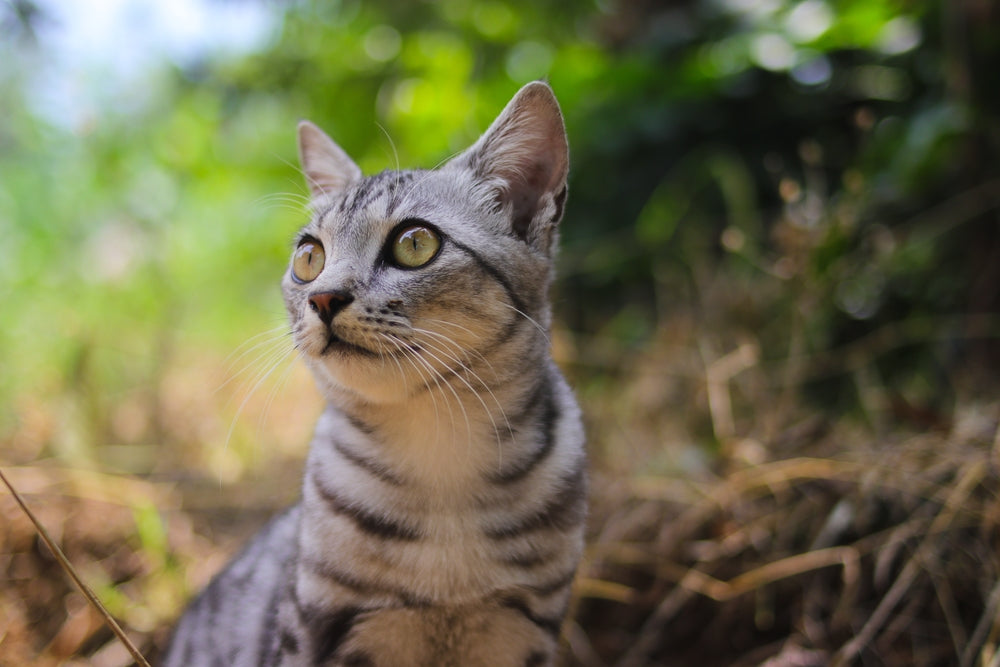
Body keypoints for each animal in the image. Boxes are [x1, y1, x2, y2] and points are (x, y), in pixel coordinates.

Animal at [162, 82, 584, 667]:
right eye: (309, 257)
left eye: (415, 243)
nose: (322, 298)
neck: (438, 454)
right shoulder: (319, 630)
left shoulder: (525, 628)